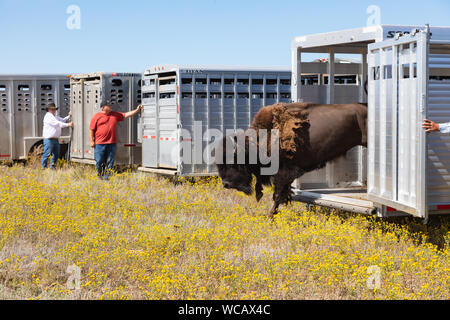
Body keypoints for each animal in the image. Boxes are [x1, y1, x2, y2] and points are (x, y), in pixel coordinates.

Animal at [216, 102, 368, 218]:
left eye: (232, 162)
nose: (226, 184)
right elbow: (284, 193)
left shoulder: (284, 173)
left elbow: (277, 195)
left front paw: (270, 215)